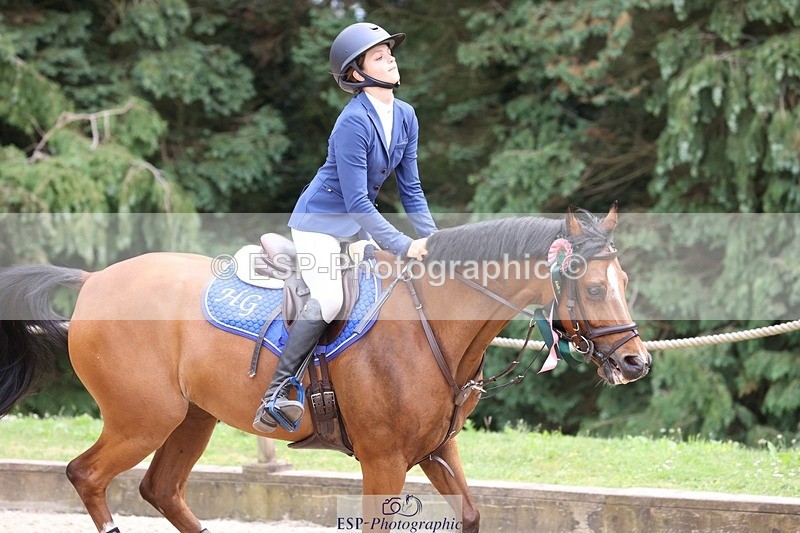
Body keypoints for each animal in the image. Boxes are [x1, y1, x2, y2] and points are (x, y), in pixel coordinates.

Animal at [0, 204, 650, 532]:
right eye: (595, 289)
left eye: (624, 281)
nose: (635, 361)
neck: (432, 322)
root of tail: (95, 280)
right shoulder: (384, 461)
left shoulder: (437, 449)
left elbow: (468, 514)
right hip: (142, 418)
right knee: (88, 476)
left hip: (192, 419)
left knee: (161, 489)